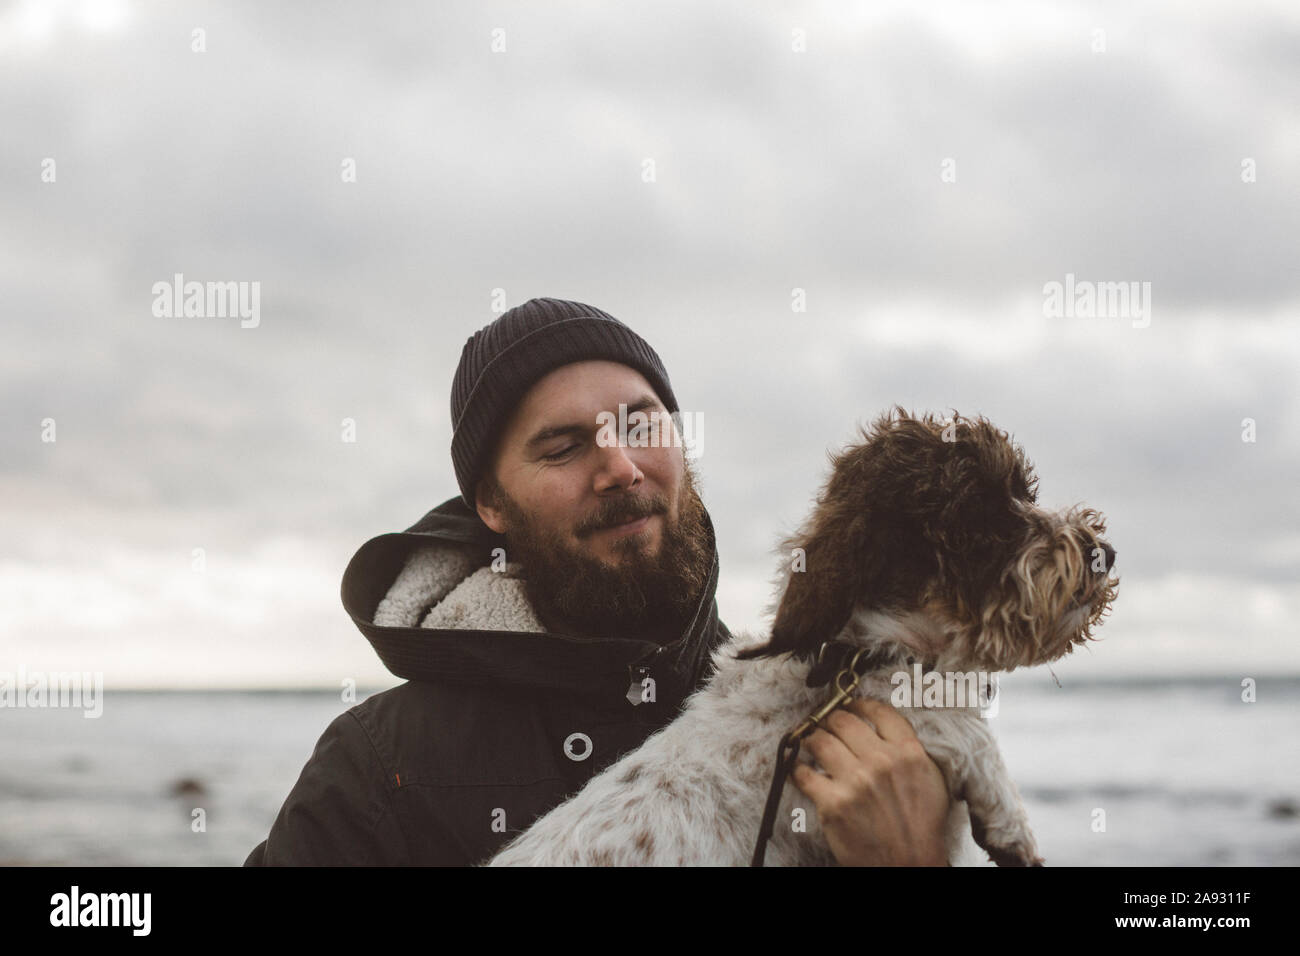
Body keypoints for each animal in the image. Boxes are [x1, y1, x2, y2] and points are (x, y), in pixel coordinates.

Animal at [488, 408, 1118, 868]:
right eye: (980, 513)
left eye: (1023, 490)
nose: (1104, 553)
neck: (857, 659)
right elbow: (954, 721)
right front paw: (1011, 823)